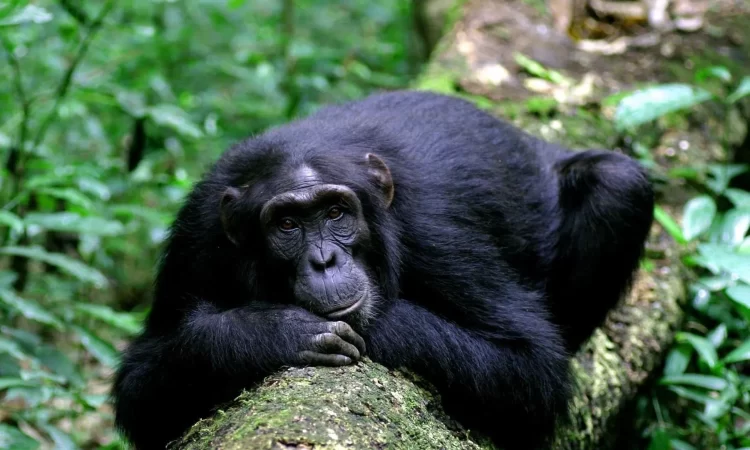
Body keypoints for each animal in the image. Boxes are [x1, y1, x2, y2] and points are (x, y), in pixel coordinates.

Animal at [110, 89, 652, 448]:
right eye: (287, 224)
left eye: (335, 213)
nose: (324, 259)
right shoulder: (197, 233)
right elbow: (142, 387)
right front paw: (271, 331)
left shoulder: (440, 230)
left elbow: (532, 366)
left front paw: (384, 325)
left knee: (617, 182)